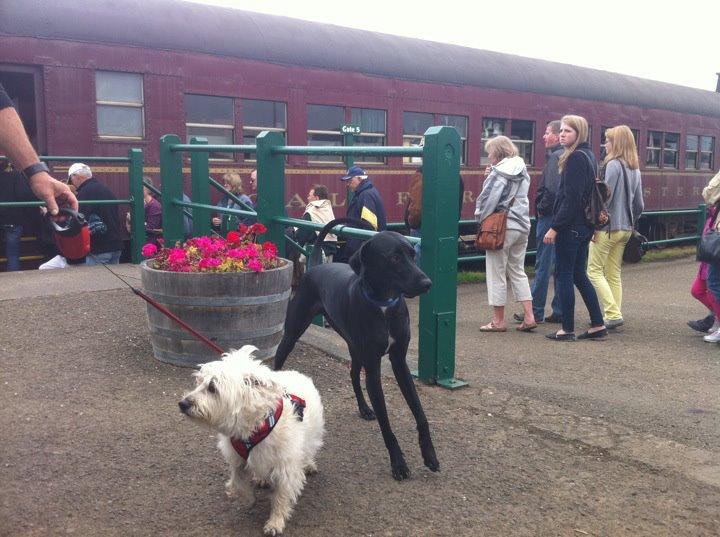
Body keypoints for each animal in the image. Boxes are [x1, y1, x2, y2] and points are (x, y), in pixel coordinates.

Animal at [272, 220, 436, 480]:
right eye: (394, 258)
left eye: (412, 254)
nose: (426, 283)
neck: (384, 306)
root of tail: (316, 267)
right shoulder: (374, 368)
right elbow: (386, 424)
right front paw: (398, 463)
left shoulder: (399, 362)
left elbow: (420, 413)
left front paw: (429, 454)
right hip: (292, 335)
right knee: (279, 361)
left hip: (355, 349)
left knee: (352, 375)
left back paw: (364, 408)